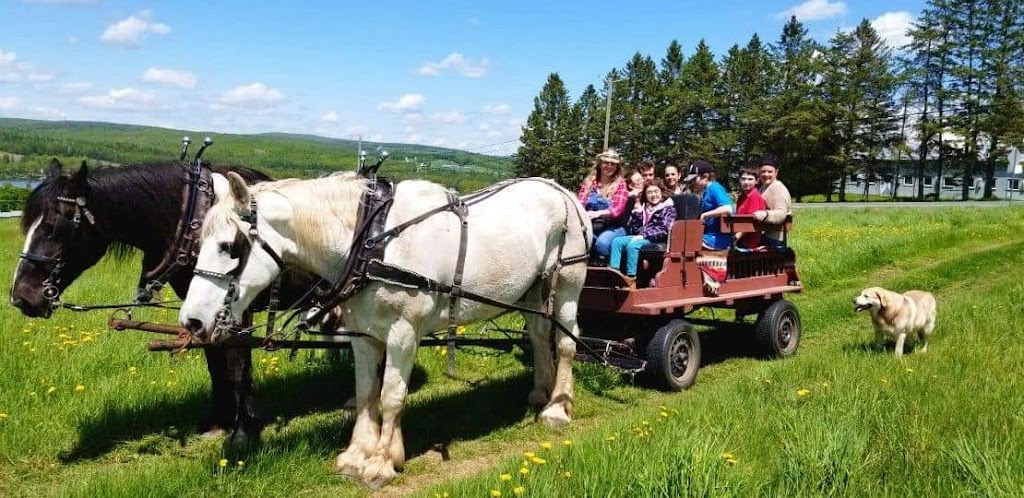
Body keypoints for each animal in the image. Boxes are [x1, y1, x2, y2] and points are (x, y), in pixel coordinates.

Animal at [9, 157, 329, 440]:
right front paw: (219, 422)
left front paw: (243, 431)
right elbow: (216, 366)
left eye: (53, 227)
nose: (21, 297)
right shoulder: (202, 311)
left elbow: (238, 368)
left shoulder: (236, 309)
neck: (191, 220)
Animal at [180, 171, 589, 485]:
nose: (191, 321)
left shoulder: (403, 334)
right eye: (199, 242)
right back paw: (539, 393)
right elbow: (365, 393)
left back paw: (557, 408)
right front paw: (357, 454)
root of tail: (561, 190)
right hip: (532, 290)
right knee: (539, 335)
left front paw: (380, 462)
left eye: (230, 246)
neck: (371, 242)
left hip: (568, 284)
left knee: (566, 343)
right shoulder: (363, 335)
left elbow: (391, 395)